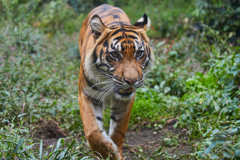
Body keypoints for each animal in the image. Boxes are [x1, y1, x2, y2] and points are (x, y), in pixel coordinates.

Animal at [78, 4, 155, 160]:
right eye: (114, 54)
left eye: (139, 53)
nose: (131, 80)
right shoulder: (86, 95)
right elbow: (92, 131)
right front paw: (105, 151)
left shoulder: (126, 100)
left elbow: (118, 131)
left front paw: (114, 152)